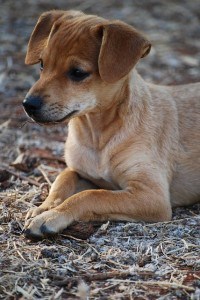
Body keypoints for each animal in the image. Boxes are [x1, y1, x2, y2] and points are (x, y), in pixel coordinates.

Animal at [22, 9, 199, 238]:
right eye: (42, 64)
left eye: (78, 73)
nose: (28, 104)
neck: (97, 136)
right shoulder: (80, 172)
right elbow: (62, 181)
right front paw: (43, 208)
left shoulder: (152, 195)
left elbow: (92, 195)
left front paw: (51, 216)